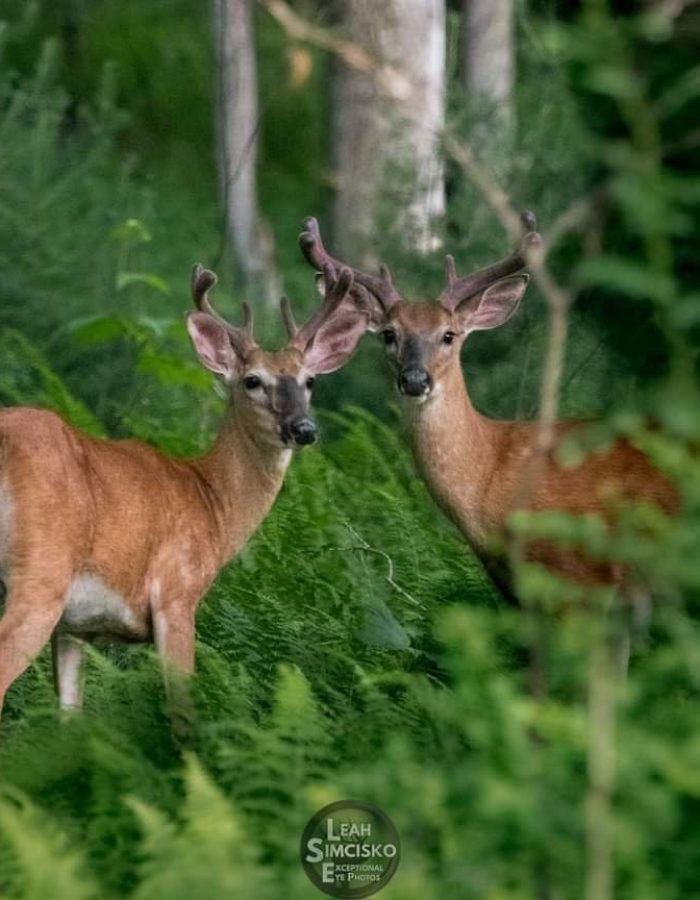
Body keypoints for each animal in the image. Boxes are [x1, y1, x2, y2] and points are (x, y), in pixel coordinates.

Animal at [0, 260, 370, 716]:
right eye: (252, 380)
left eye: (310, 381)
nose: (303, 429)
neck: (210, 500)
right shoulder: (176, 593)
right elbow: (183, 710)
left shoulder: (74, 628)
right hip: (41, 571)